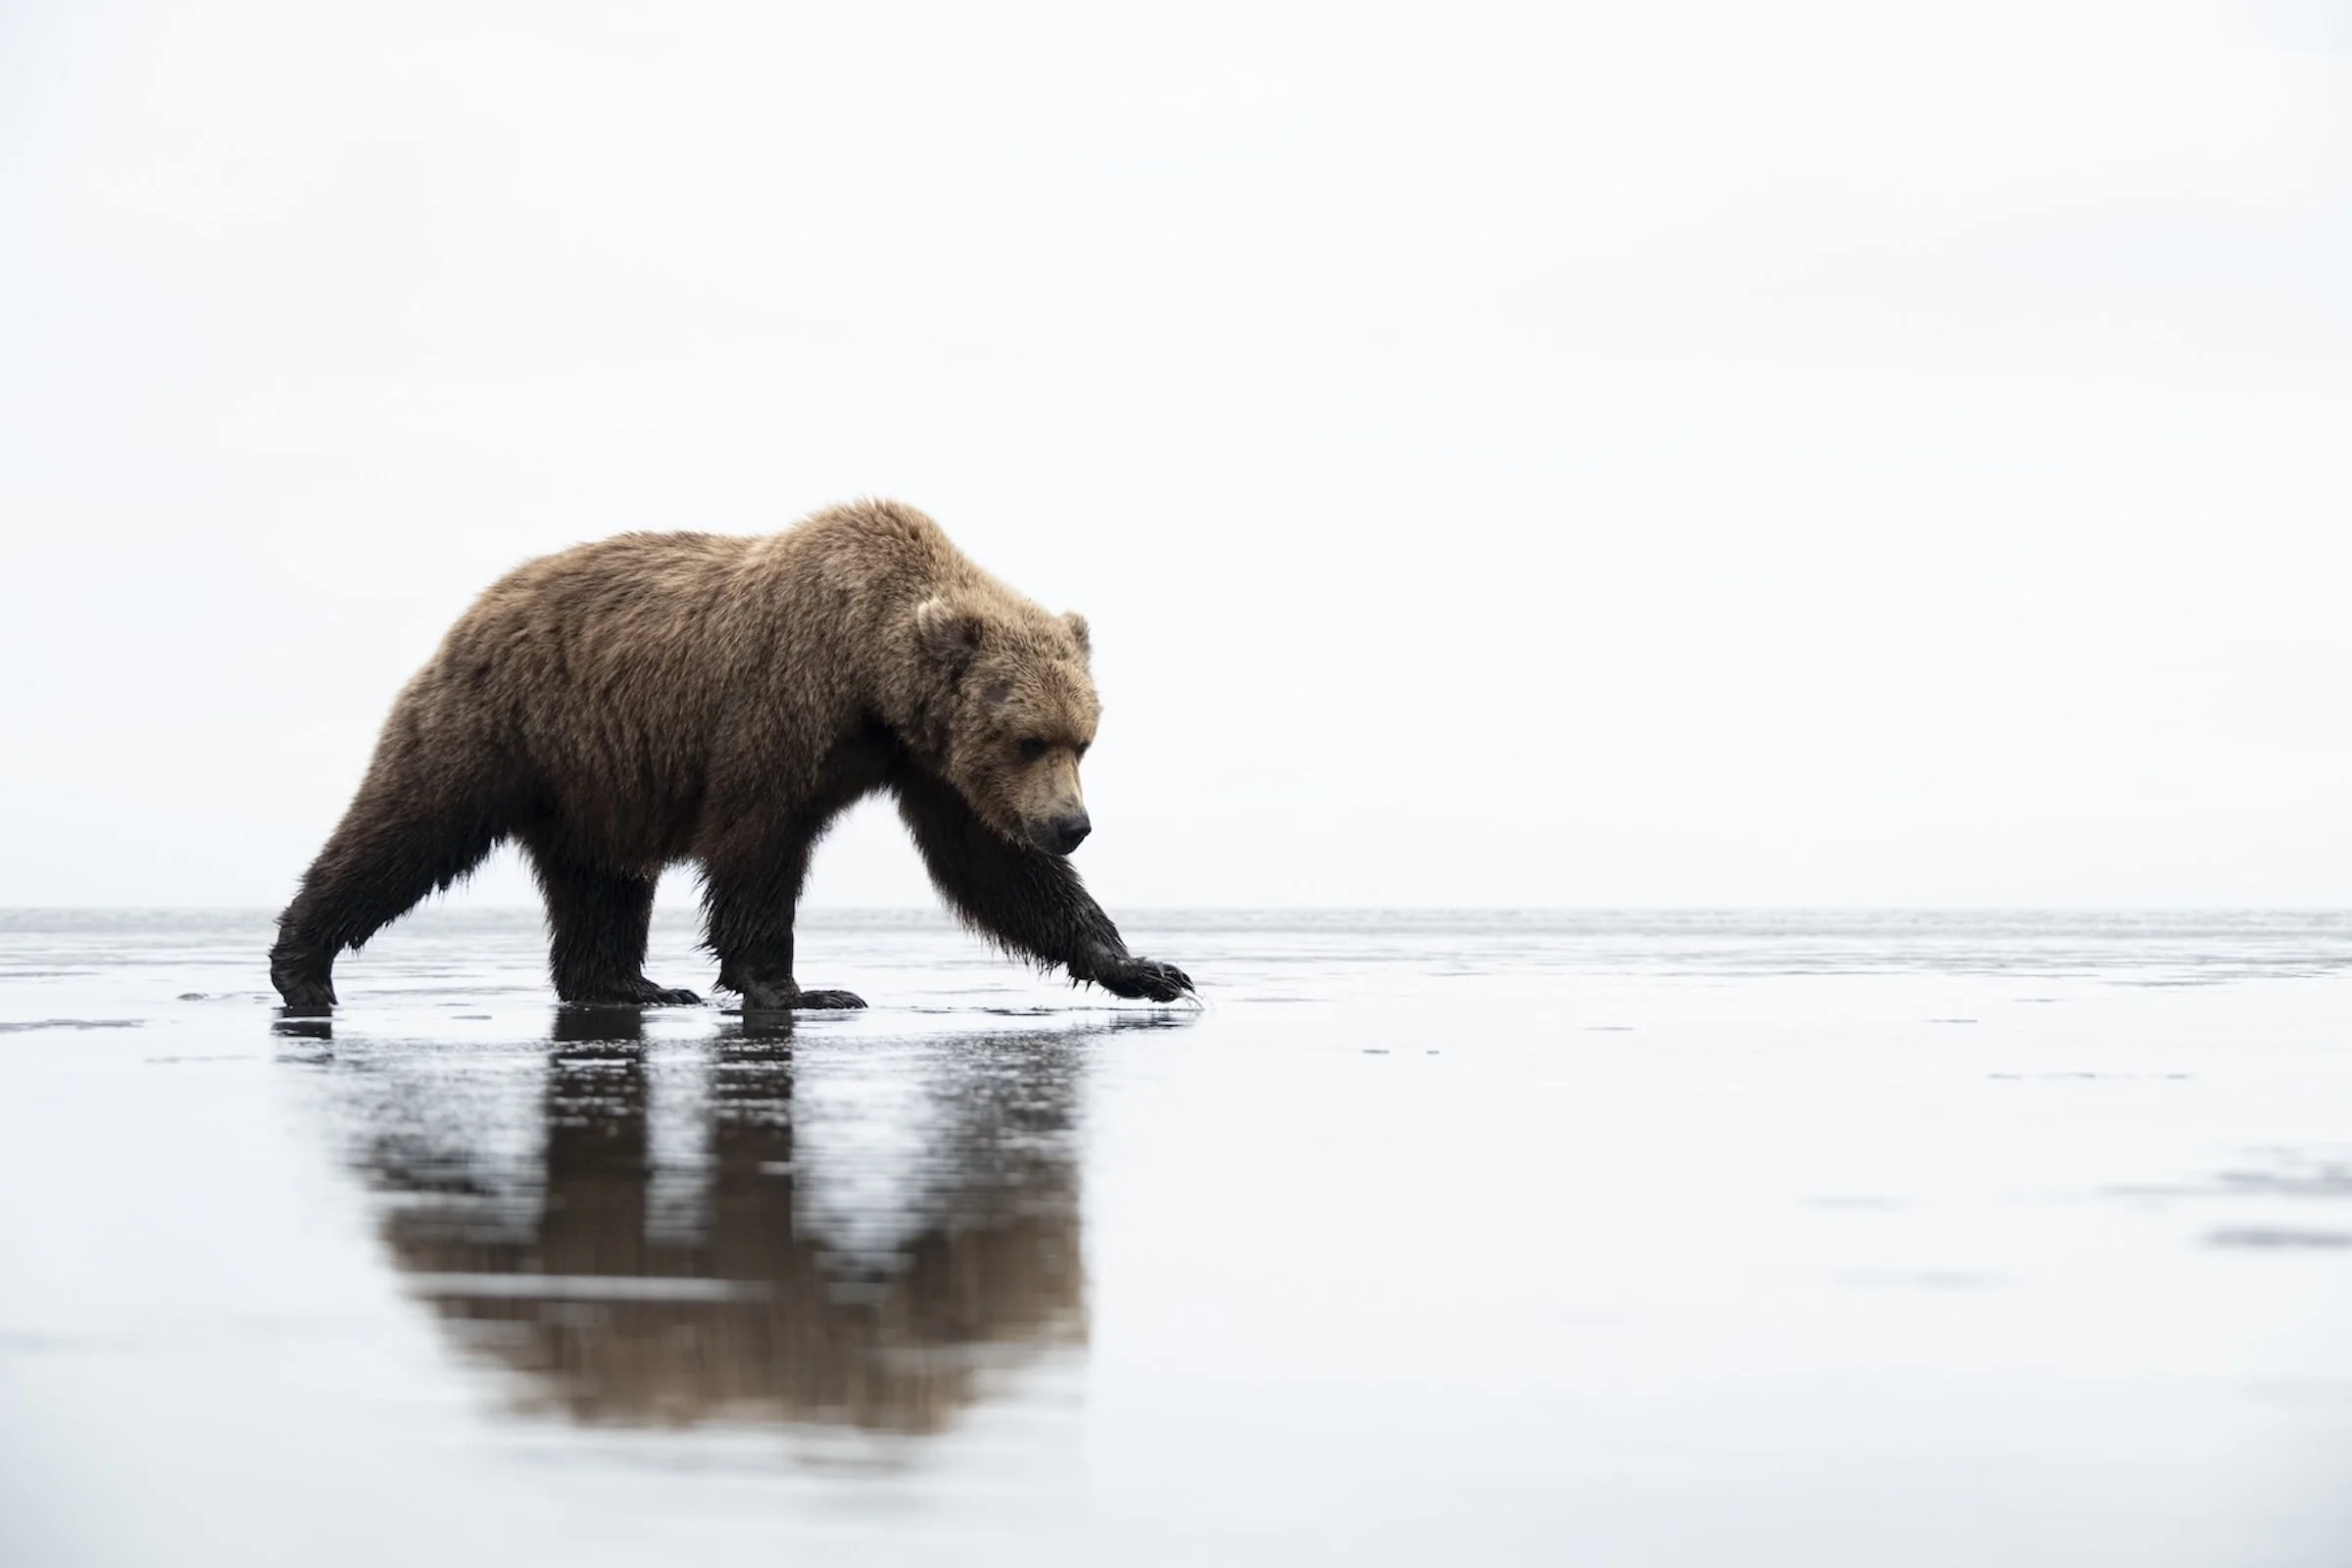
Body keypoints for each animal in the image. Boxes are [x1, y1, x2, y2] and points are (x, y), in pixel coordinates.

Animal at [268, 499, 1194, 1012]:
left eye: (1084, 738)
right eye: (1028, 738)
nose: (1071, 826)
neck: (871, 678)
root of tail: (479, 606)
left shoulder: (927, 763)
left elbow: (994, 866)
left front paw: (1148, 969)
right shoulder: (780, 707)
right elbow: (757, 844)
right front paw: (802, 988)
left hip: (595, 778)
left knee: (602, 880)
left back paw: (627, 984)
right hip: (501, 728)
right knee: (409, 828)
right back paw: (302, 964)